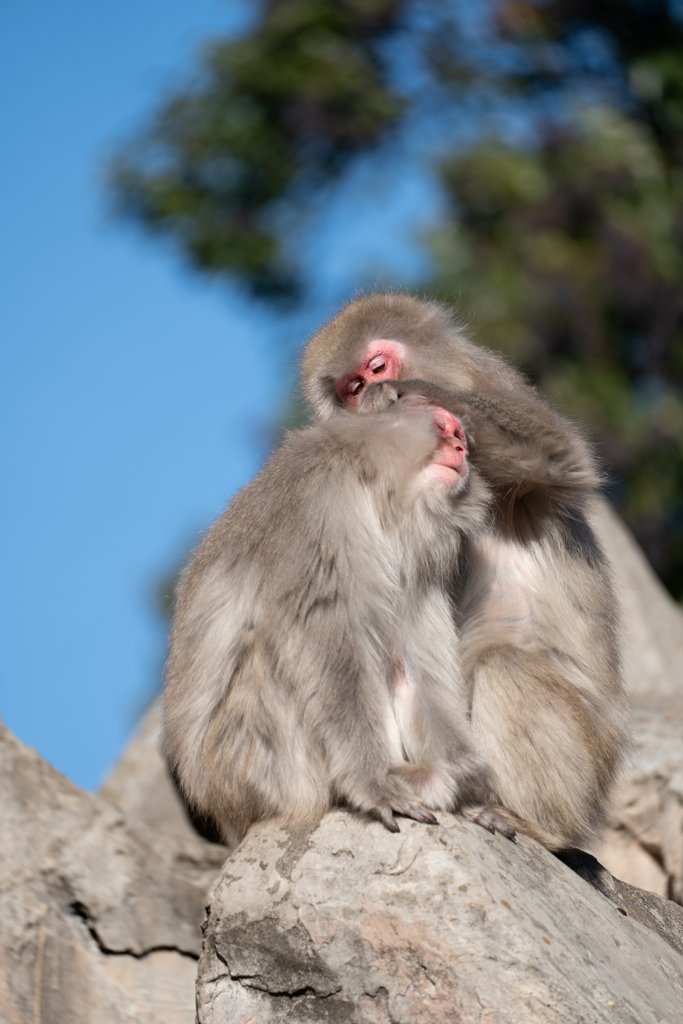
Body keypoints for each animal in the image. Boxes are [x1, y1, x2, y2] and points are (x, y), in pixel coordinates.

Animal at [165, 395, 516, 843]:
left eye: (461, 439)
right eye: (445, 427)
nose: (460, 450)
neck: (379, 495)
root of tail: (225, 817)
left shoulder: (417, 565)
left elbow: (411, 667)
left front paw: (473, 792)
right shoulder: (319, 505)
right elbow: (324, 640)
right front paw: (375, 783)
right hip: (250, 772)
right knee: (274, 657)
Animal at [301, 288, 634, 847]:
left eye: (376, 367)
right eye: (351, 387)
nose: (367, 392)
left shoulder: (495, 387)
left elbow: (556, 453)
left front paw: (403, 395)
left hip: (588, 766)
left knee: (505, 665)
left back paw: (537, 825)